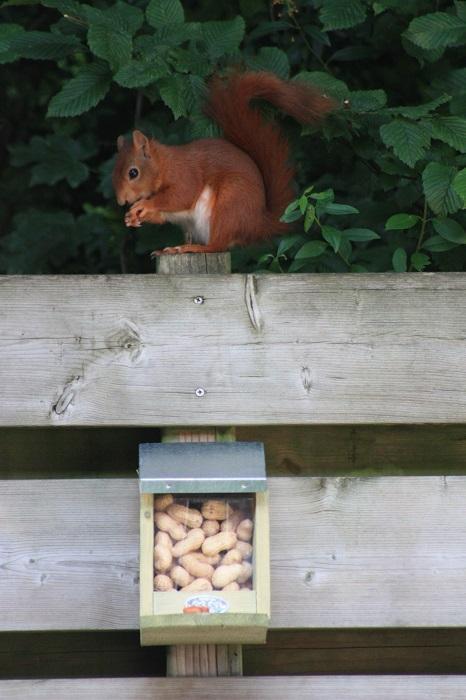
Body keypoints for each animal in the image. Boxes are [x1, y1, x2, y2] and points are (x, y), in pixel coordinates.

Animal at [112, 71, 336, 256]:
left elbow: (181, 195)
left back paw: (190, 248)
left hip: (230, 204)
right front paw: (132, 217)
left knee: (217, 246)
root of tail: (256, 224)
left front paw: (143, 205)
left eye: (133, 173)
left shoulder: (185, 174)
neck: (163, 165)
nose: (122, 202)